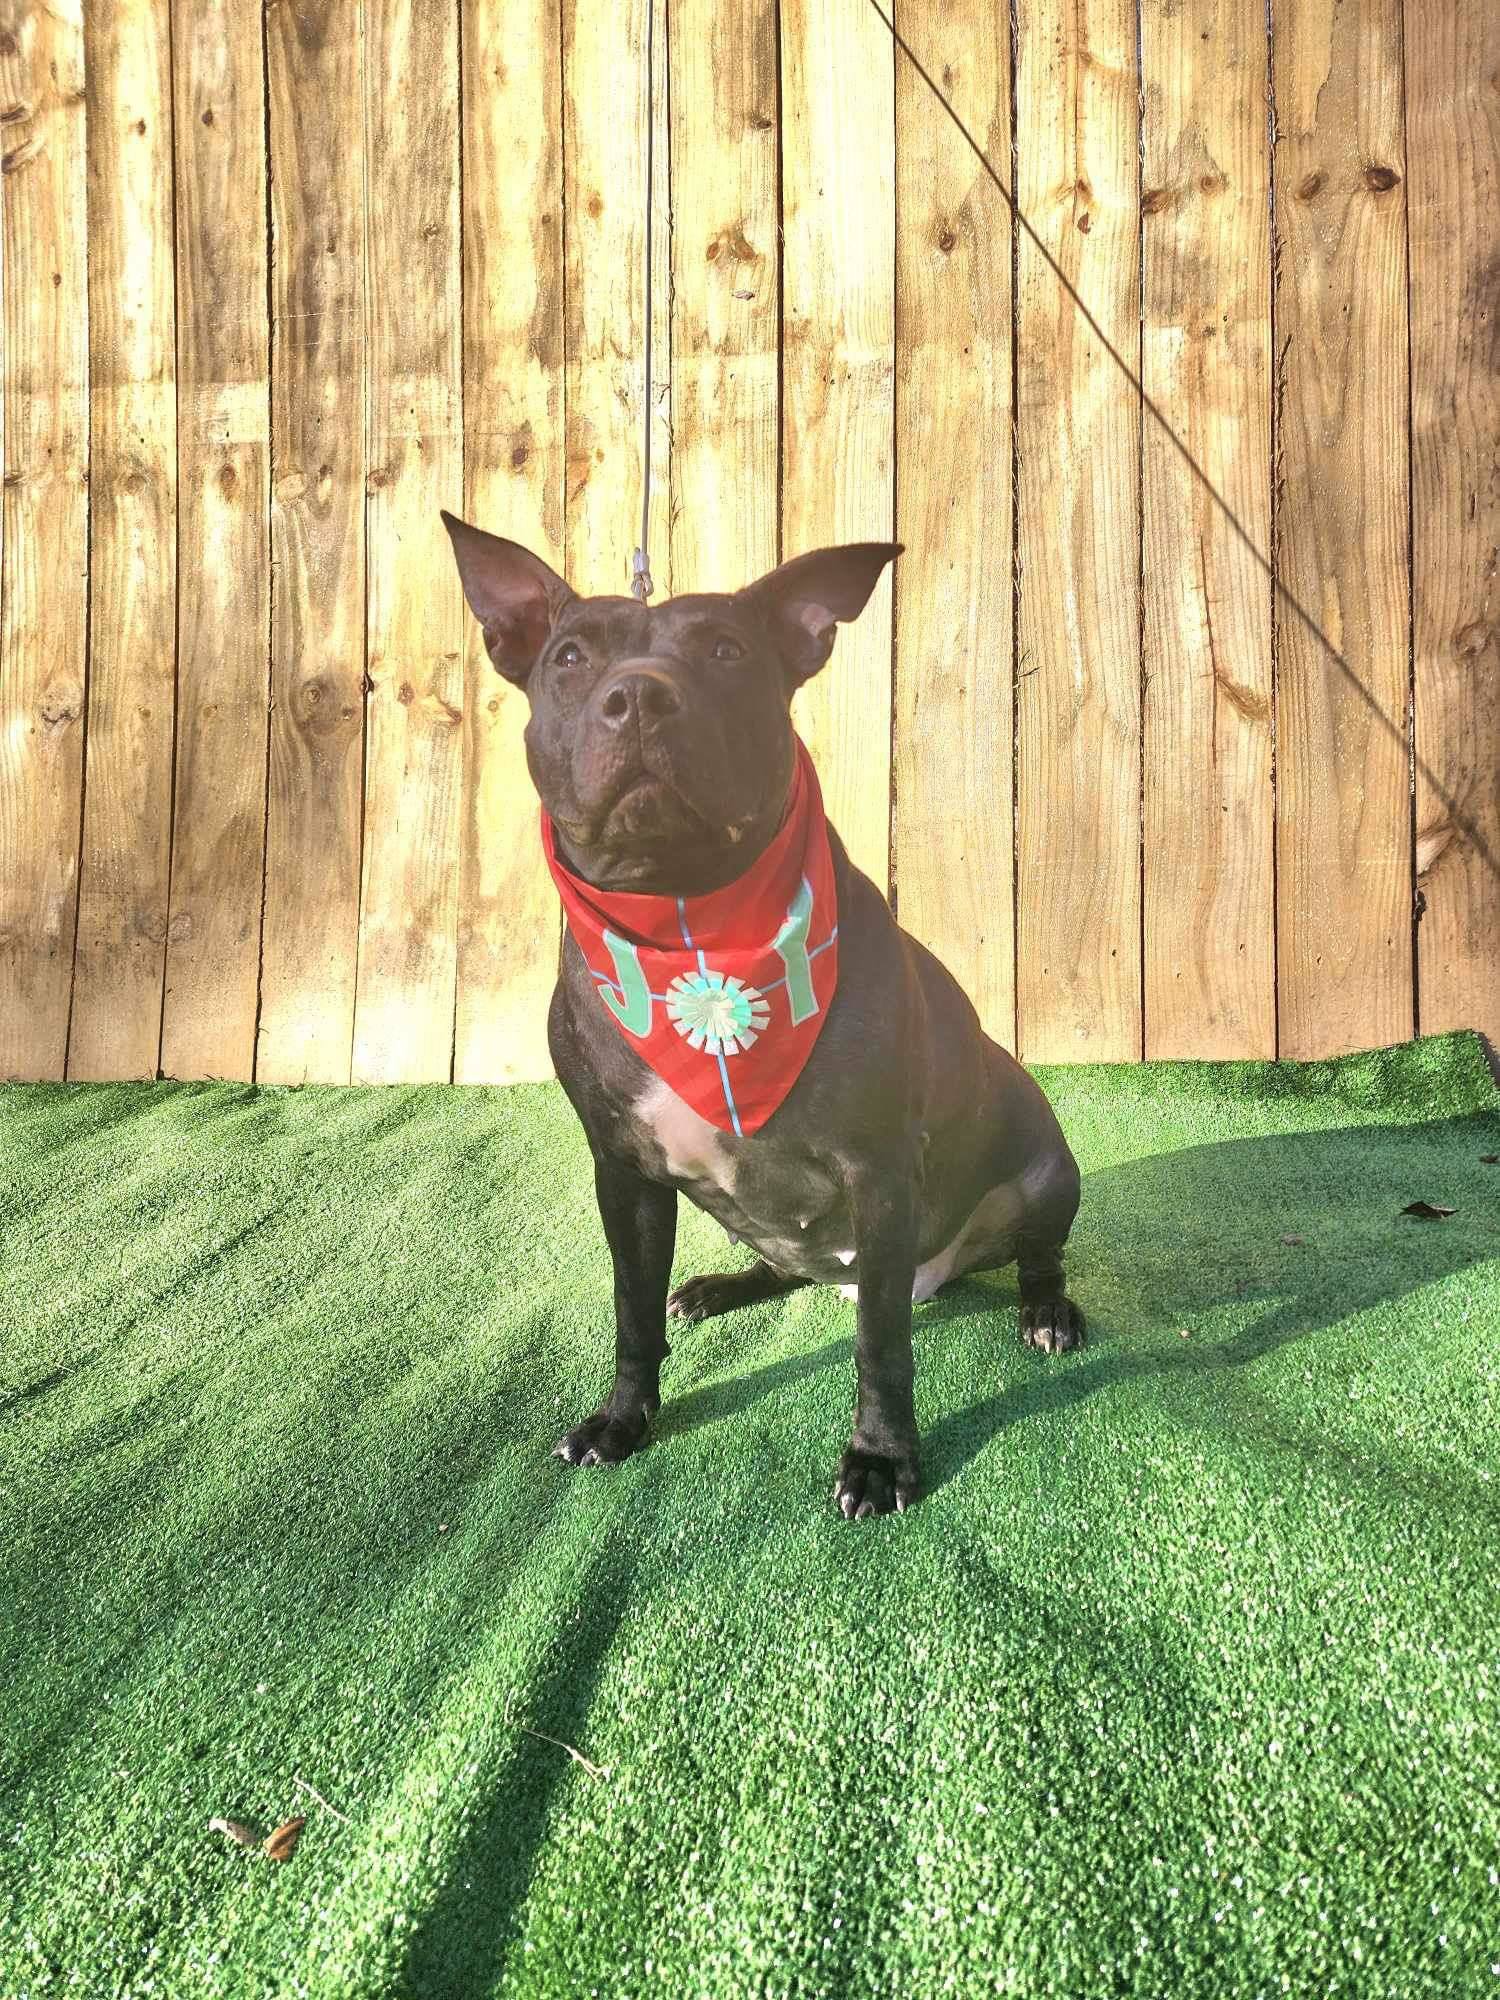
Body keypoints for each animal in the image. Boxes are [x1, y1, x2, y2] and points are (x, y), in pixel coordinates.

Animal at [440, 516, 1088, 1512]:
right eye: (570, 657)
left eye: (726, 651)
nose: (638, 695)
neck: (686, 922)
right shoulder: (621, 1172)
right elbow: (631, 1309)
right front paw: (623, 1420)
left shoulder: (879, 1171)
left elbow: (882, 1347)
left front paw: (881, 1457)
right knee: (777, 1262)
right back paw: (716, 1287)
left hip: (1048, 1170)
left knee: (1031, 1254)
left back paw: (1047, 1310)